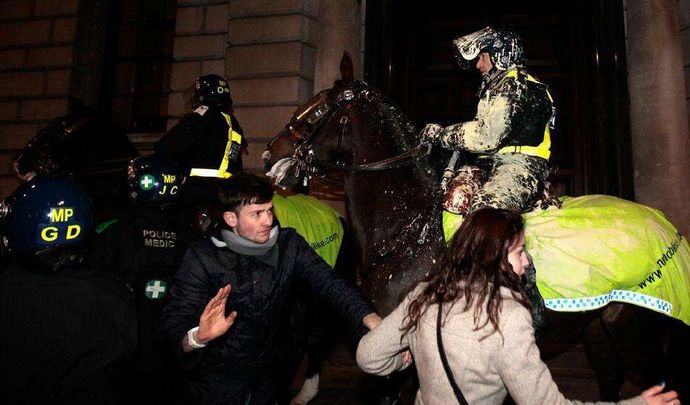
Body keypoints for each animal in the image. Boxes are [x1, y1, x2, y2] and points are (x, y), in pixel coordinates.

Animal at [264, 56, 688, 400]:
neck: (410, 229)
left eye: (316, 110)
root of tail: (667, 228)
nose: (270, 153)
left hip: (636, 332)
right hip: (600, 331)